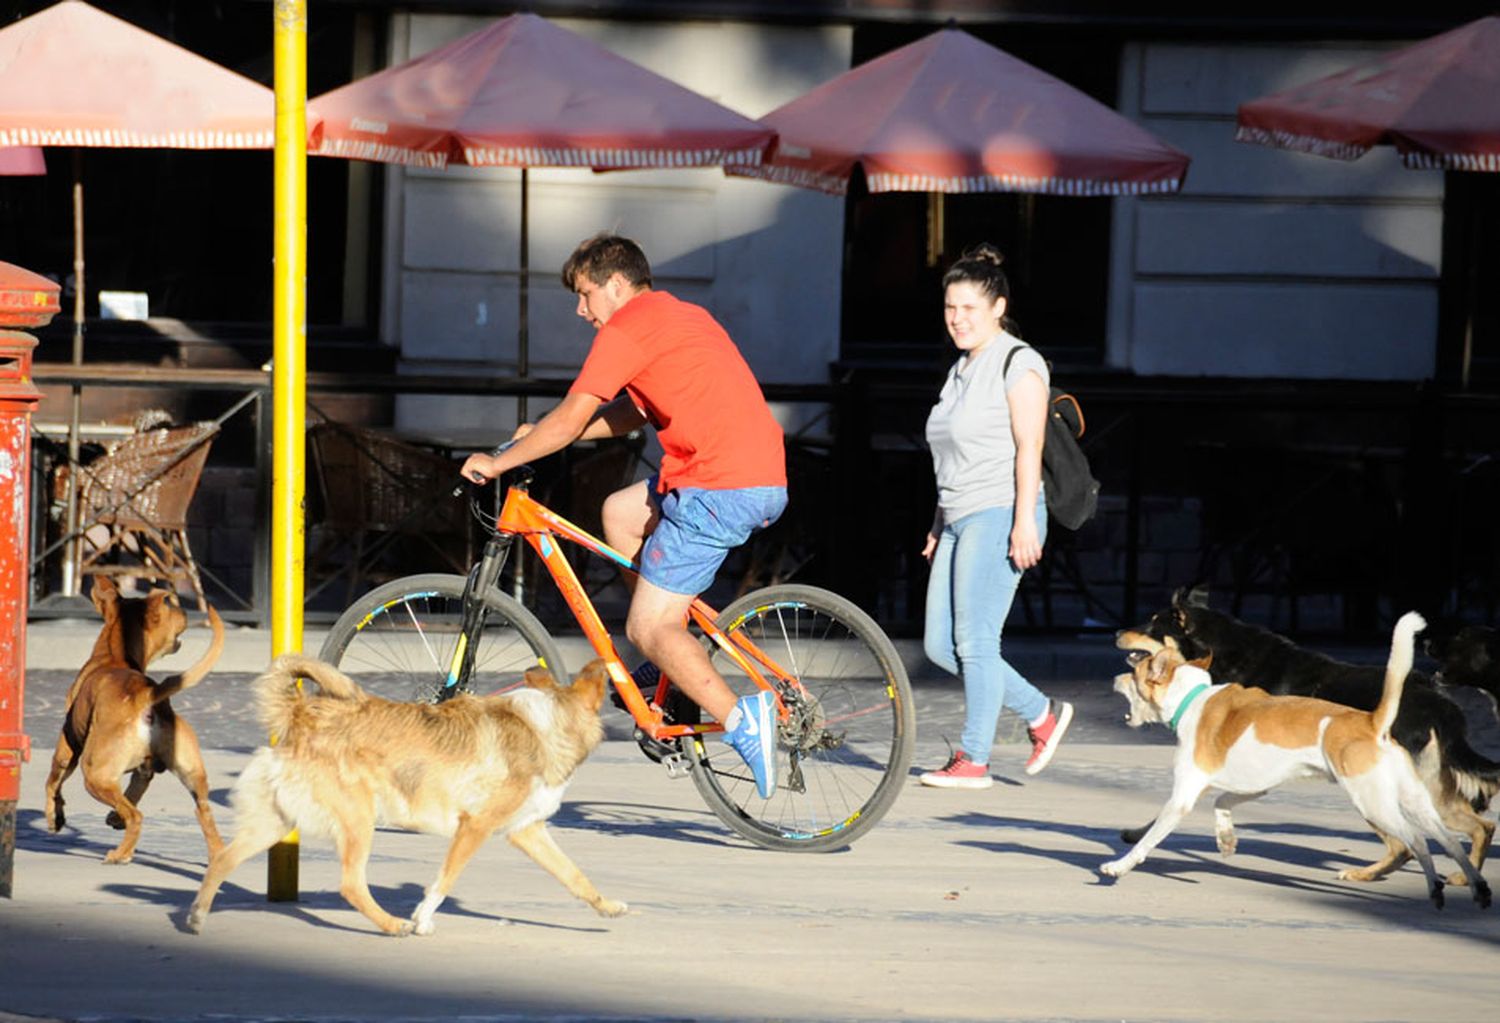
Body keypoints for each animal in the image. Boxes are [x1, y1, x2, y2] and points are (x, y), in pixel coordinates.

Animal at [44, 573, 226, 858]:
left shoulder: (67, 747)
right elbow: (136, 788)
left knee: (136, 816)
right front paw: (114, 818)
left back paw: (120, 855)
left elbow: (53, 784)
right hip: (193, 775)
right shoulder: (145, 769)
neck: (114, 654)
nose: (184, 610)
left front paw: (55, 818)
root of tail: (146, 695)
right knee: (203, 813)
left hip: (94, 775)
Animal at [189, 654, 627, 930]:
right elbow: (443, 882)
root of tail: (300, 713)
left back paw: (196, 917)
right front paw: (421, 920)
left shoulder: (527, 831)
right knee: (351, 885)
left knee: (222, 858)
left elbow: (575, 876)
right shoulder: (474, 827)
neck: (547, 723)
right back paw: (392, 925)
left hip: (276, 822)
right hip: (358, 820)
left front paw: (606, 907)